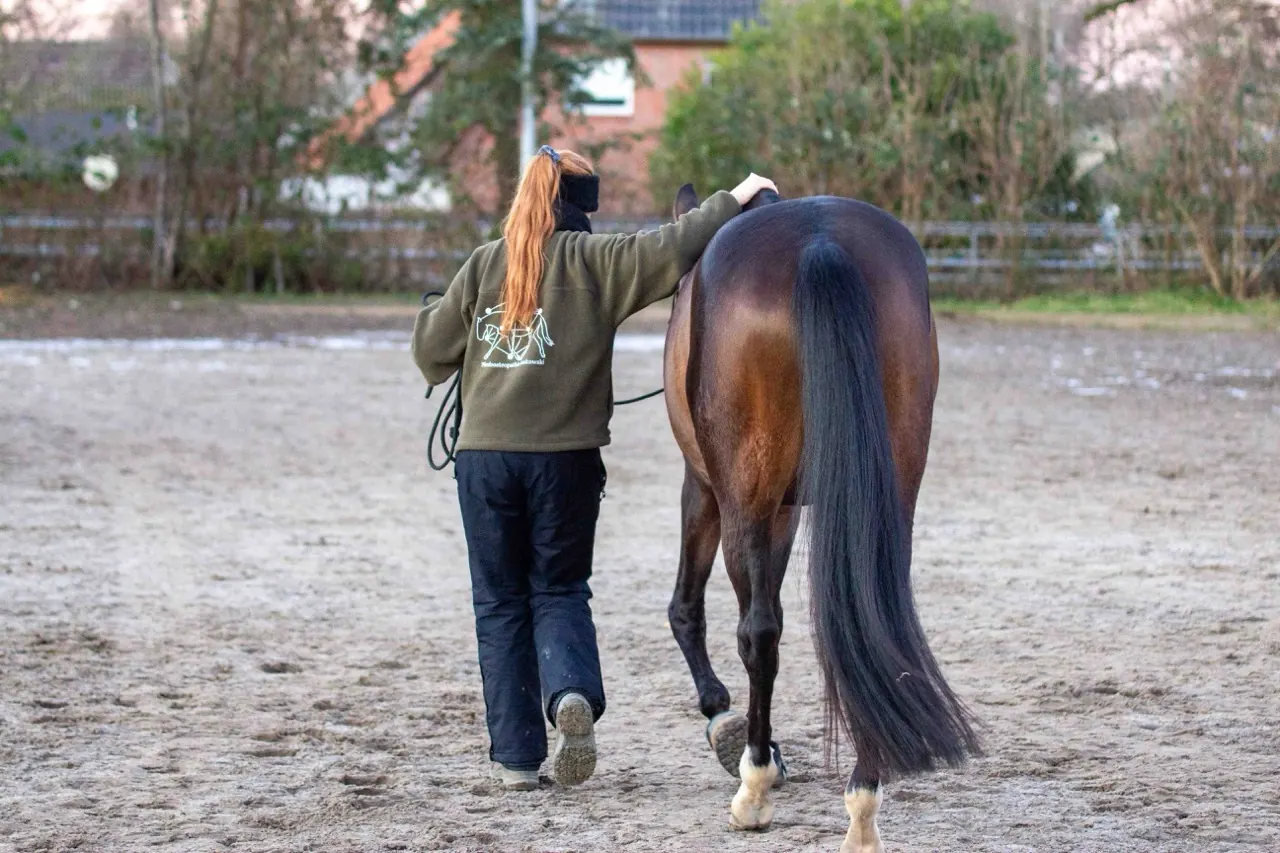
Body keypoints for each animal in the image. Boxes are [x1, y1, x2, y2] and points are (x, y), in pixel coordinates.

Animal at [661, 185, 981, 851]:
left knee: (757, 633)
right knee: (872, 621)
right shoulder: (786, 510)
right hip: (891, 491)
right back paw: (863, 806)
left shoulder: (707, 490)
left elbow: (689, 607)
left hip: (744, 497)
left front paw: (724, 720)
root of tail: (820, 242)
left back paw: (754, 788)